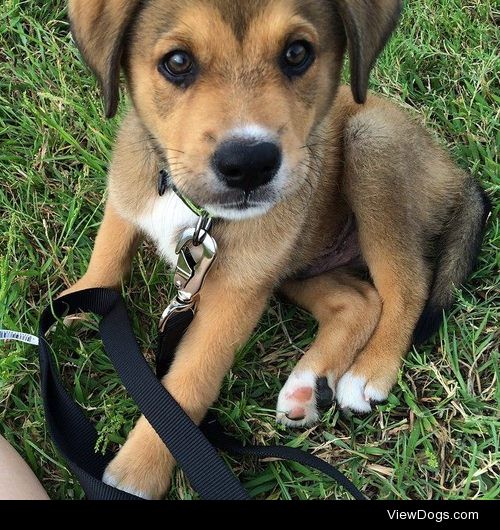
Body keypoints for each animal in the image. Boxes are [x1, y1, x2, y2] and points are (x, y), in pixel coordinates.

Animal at [65, 0, 488, 498]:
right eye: (177, 62)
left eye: (297, 53)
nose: (249, 164)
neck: (193, 207)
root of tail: (454, 172)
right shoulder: (128, 195)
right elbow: (107, 254)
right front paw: (79, 302)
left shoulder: (236, 294)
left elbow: (188, 382)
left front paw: (138, 470)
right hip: (295, 264)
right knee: (359, 299)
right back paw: (308, 385)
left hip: (370, 145)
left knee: (407, 286)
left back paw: (369, 372)